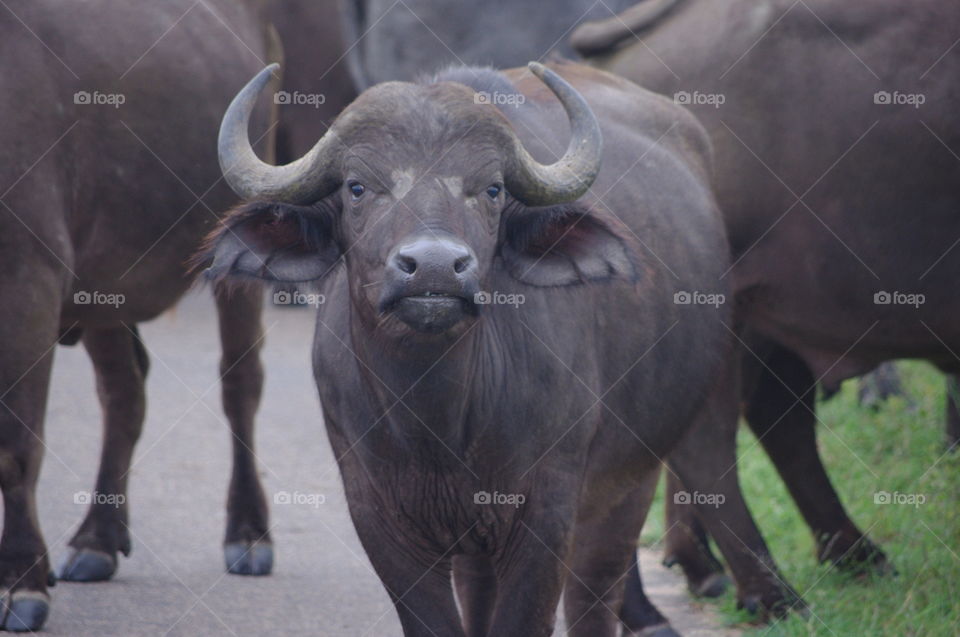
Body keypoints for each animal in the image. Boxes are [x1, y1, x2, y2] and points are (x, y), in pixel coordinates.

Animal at [0, 0, 278, 628]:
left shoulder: (27, 279)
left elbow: (15, 445)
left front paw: (20, 583)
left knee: (241, 381)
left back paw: (248, 533)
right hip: (104, 288)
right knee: (124, 389)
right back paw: (98, 539)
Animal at [201, 60, 728, 636]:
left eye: (492, 189)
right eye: (357, 187)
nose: (434, 266)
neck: (438, 426)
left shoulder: (546, 513)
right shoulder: (379, 517)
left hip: (632, 477)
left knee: (595, 589)